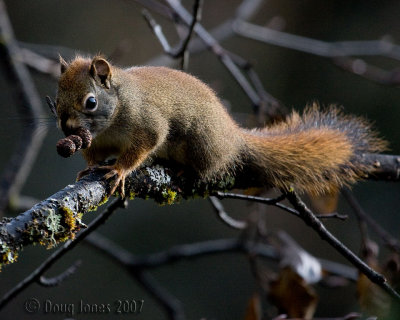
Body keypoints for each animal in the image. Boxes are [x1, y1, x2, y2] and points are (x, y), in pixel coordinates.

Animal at [53, 56, 388, 199]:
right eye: (56, 99)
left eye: (91, 102)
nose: (66, 128)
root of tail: (234, 136)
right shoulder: (97, 141)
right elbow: (93, 156)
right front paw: (88, 168)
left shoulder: (147, 122)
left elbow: (145, 143)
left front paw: (119, 169)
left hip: (201, 142)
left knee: (207, 166)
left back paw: (186, 170)